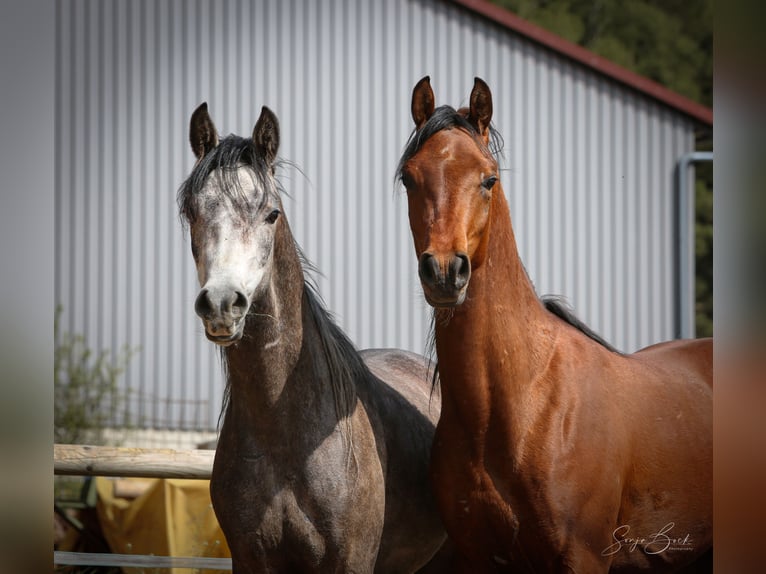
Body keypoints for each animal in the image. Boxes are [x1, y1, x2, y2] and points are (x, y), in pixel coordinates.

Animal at [177, 104, 448, 574]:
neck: (286, 437)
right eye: (192, 212)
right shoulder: (249, 558)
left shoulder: (351, 560)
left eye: (271, 213)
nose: (222, 303)